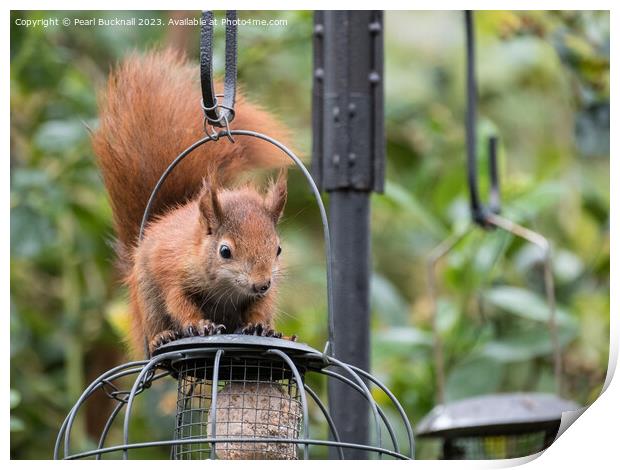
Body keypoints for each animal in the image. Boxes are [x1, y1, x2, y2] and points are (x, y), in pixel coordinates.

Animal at [93, 49, 292, 354]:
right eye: (225, 251)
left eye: (278, 249)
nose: (261, 283)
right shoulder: (172, 271)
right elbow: (179, 303)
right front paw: (200, 325)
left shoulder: (265, 291)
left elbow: (261, 306)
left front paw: (260, 325)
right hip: (146, 298)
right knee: (154, 324)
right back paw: (161, 337)